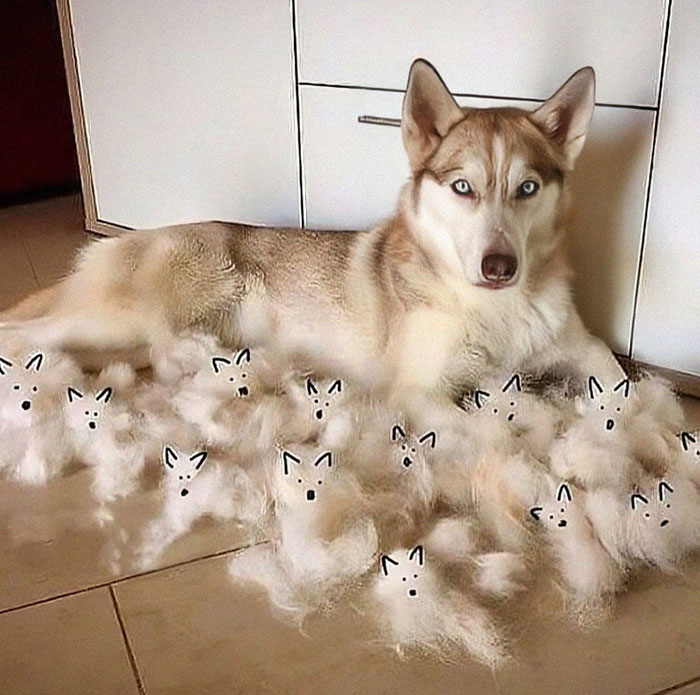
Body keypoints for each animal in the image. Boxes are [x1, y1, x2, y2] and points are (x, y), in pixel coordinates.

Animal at [0, 61, 624, 402]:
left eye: (527, 188)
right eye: (463, 187)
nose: (500, 267)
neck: (498, 312)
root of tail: (121, 238)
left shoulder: (590, 353)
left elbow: (621, 385)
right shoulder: (422, 392)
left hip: (129, 338)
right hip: (122, 317)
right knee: (26, 331)